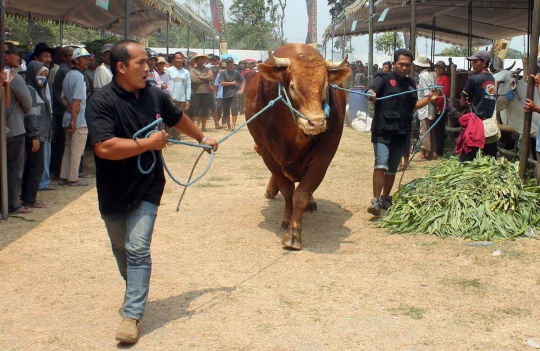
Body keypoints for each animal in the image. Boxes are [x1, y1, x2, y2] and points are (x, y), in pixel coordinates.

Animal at [245, 43, 350, 250]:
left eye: (325, 86)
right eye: (293, 86)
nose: (316, 122)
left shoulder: (324, 156)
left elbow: (302, 193)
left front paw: (293, 233)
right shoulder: (267, 152)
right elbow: (287, 190)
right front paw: (287, 218)